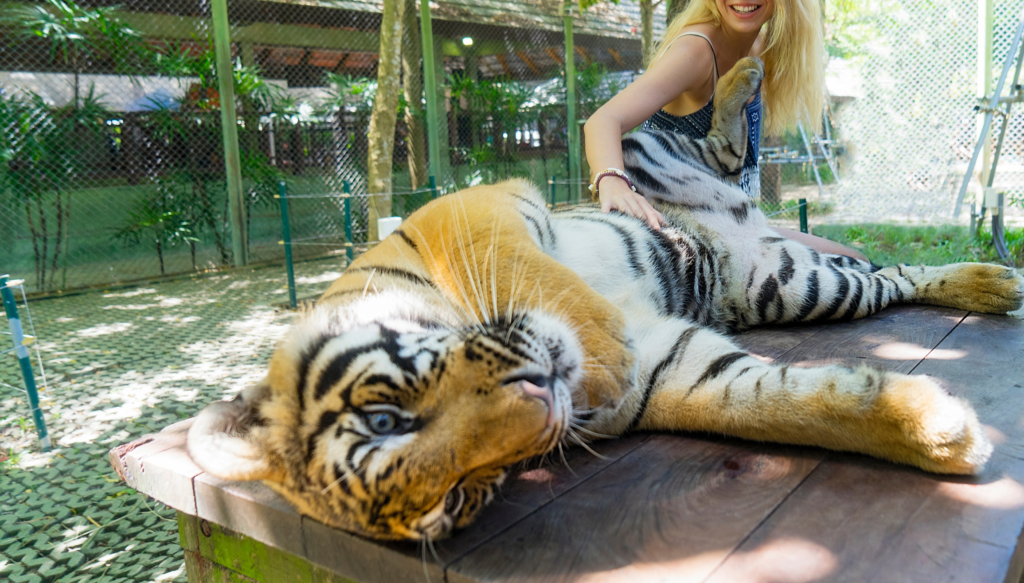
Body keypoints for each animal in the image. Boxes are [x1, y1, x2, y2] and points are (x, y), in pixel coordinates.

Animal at [186, 56, 1024, 536]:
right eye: (461, 493)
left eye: (387, 416)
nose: (550, 395)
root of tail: (749, 226)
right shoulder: (674, 367)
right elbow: (779, 404)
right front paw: (938, 433)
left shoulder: (474, 210)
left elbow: (535, 274)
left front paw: (598, 347)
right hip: (793, 284)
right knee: (880, 274)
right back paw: (990, 282)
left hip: (653, 157)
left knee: (707, 139)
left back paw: (743, 70)